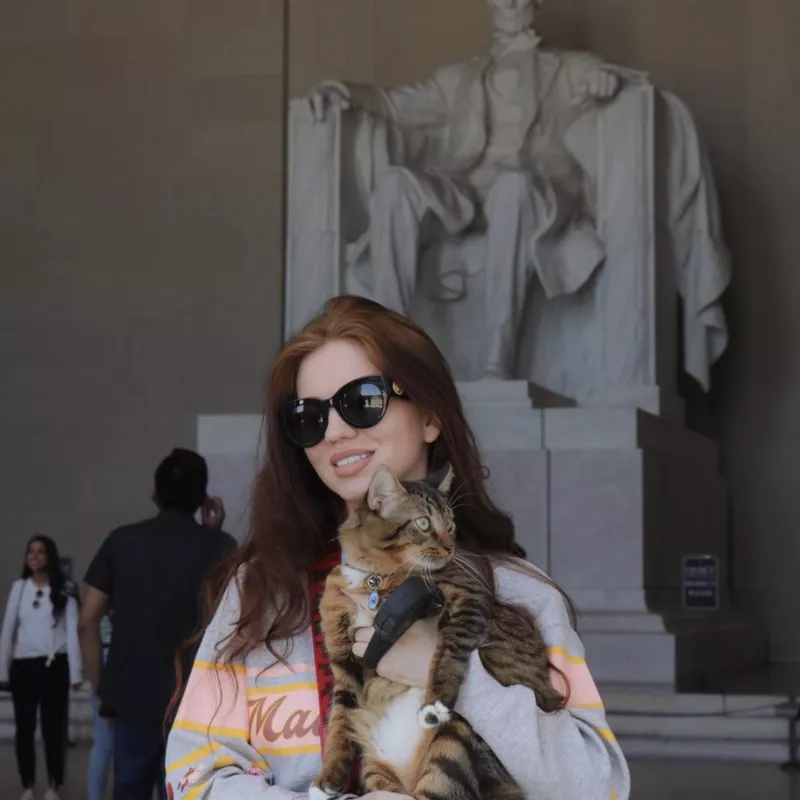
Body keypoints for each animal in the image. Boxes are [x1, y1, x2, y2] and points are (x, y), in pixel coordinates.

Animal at [310, 462, 564, 800]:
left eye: (451, 524)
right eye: (423, 523)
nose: (450, 547)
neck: (375, 580)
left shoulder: (468, 599)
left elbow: (448, 654)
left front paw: (435, 703)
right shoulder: (343, 660)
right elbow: (340, 720)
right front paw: (328, 780)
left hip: (456, 739)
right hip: (377, 768)